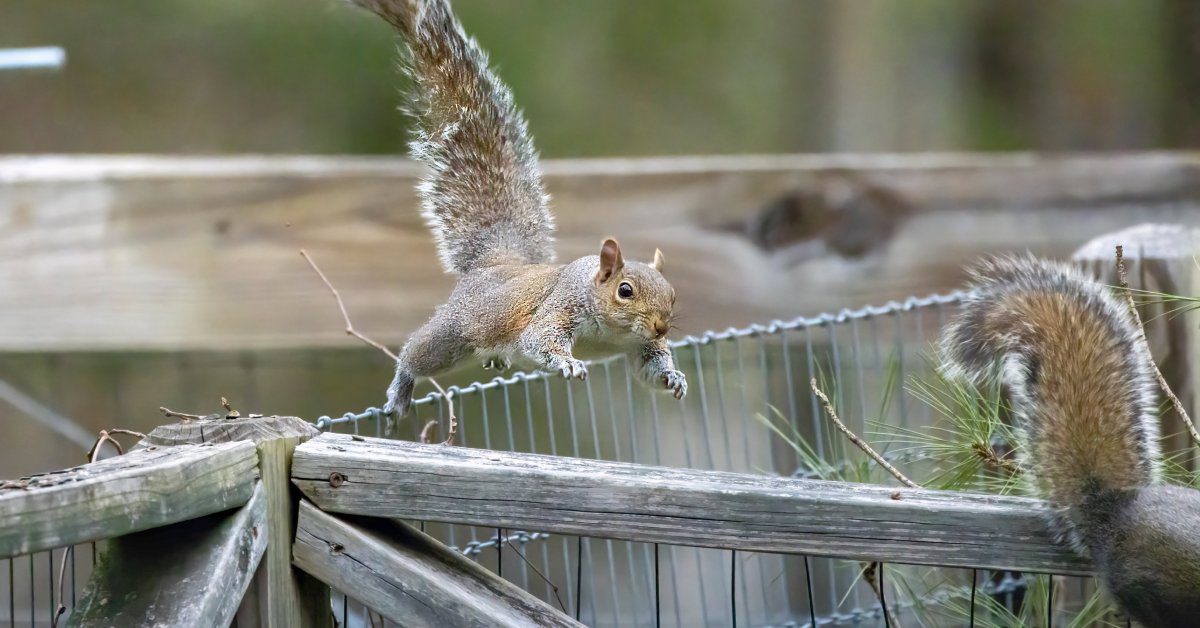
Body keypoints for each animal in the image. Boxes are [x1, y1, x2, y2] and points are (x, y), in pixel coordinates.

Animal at [347, 0, 687, 421]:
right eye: (625, 291)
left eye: (673, 296)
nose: (661, 327)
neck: (611, 332)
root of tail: (496, 262)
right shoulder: (557, 309)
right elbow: (538, 340)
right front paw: (568, 362)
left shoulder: (640, 348)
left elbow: (648, 370)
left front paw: (673, 378)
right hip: (455, 333)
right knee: (418, 354)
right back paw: (402, 387)